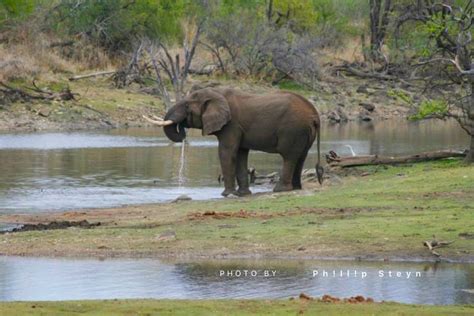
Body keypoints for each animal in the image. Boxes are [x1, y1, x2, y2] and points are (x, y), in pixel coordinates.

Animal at [144, 86, 322, 195]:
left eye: (187, 106)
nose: (181, 132)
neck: (216, 93)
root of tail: (315, 114)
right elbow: (241, 154)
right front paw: (242, 194)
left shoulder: (231, 125)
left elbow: (227, 152)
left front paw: (226, 194)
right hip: (303, 132)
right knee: (301, 156)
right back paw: (296, 188)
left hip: (293, 129)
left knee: (289, 156)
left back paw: (279, 190)